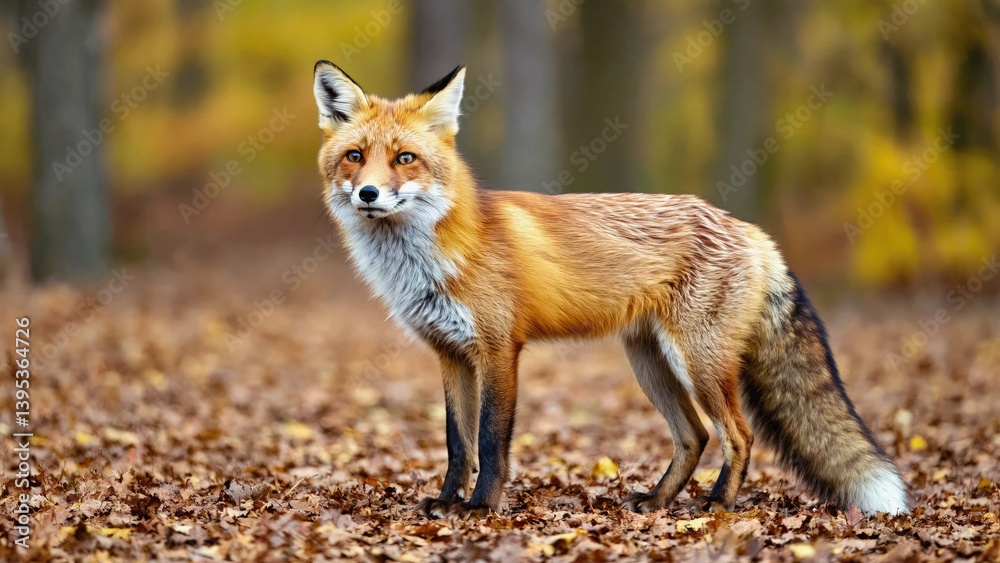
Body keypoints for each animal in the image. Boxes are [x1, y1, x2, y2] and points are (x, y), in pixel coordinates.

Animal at [311, 61, 909, 518]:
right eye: (355, 156)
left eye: (405, 159)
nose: (368, 194)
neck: (432, 257)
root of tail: (749, 230)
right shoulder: (450, 354)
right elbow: (457, 442)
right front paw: (446, 502)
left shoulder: (499, 349)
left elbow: (490, 441)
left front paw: (481, 508)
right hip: (650, 362)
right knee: (695, 435)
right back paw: (657, 502)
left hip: (698, 362)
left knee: (738, 435)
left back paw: (717, 506)